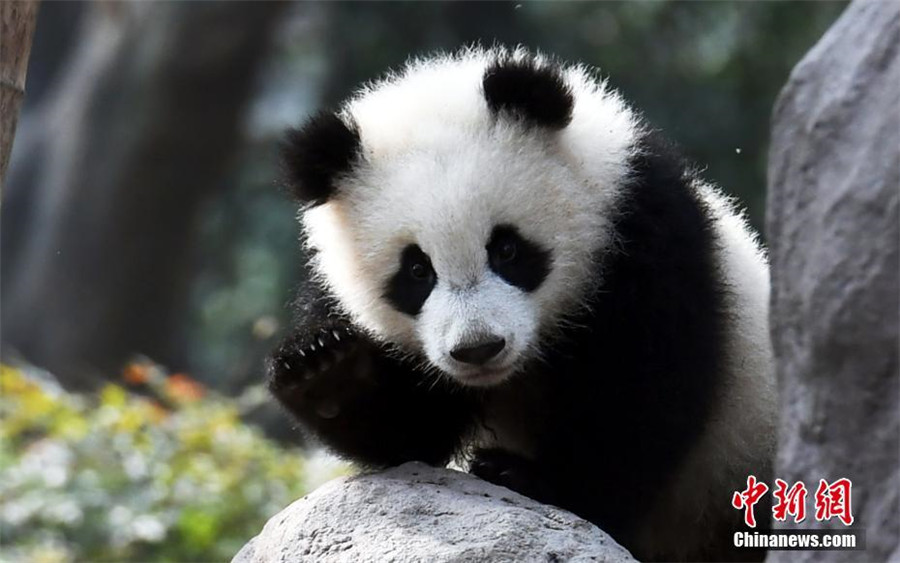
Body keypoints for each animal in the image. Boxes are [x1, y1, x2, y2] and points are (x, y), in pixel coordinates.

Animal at [267, 47, 776, 562]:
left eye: (507, 250)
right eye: (417, 271)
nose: (477, 349)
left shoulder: (643, 240)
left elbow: (641, 394)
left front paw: (532, 479)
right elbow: (411, 435)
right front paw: (327, 369)